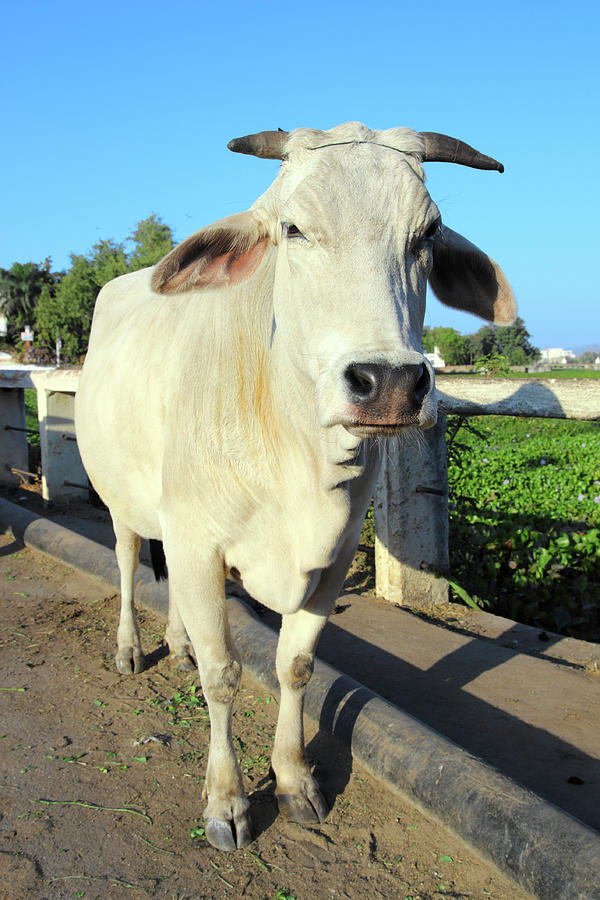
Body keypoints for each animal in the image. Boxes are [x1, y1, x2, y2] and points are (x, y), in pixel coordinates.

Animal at [75, 121, 516, 852]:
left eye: (426, 234)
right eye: (293, 229)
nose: (388, 383)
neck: (298, 456)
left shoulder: (329, 560)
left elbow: (295, 665)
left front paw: (292, 780)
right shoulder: (199, 542)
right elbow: (224, 675)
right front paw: (226, 801)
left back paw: (179, 643)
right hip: (122, 503)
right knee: (129, 562)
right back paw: (131, 648)